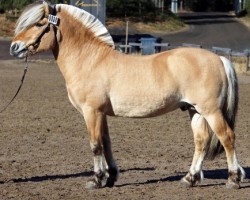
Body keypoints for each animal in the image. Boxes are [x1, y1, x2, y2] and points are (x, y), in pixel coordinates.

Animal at [10, 1, 245, 189]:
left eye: (39, 24)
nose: (14, 47)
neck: (90, 60)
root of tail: (219, 58)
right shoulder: (101, 114)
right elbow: (106, 143)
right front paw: (111, 177)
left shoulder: (91, 112)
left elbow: (95, 145)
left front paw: (96, 180)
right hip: (194, 110)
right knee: (201, 141)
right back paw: (190, 179)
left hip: (210, 111)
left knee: (227, 137)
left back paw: (233, 180)